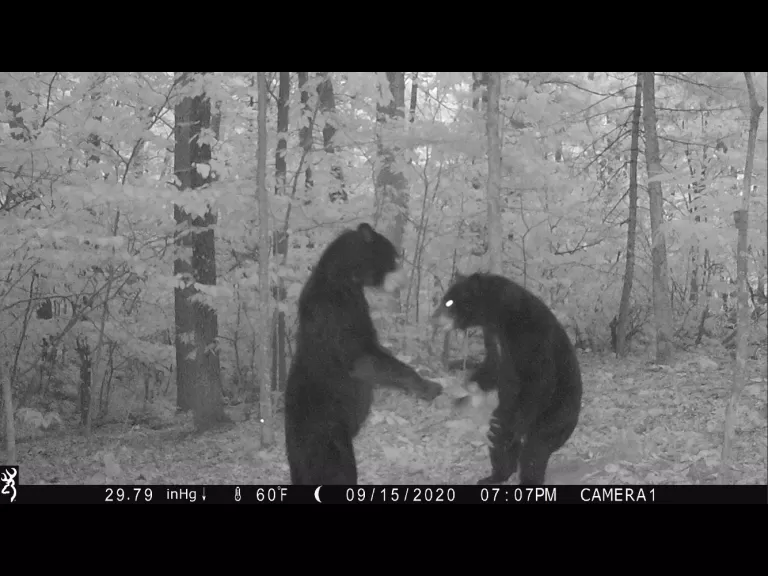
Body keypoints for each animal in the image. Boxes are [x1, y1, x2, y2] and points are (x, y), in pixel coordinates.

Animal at [285, 222, 442, 485]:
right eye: (394, 257)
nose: (404, 279)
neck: (345, 277)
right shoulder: (336, 309)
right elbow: (362, 357)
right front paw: (428, 386)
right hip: (328, 438)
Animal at [432, 272, 582, 485]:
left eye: (449, 301)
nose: (433, 318)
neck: (499, 314)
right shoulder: (493, 337)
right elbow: (492, 365)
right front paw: (464, 390)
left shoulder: (529, 335)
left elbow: (538, 377)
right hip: (503, 410)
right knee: (498, 441)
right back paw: (495, 476)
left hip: (554, 415)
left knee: (534, 451)